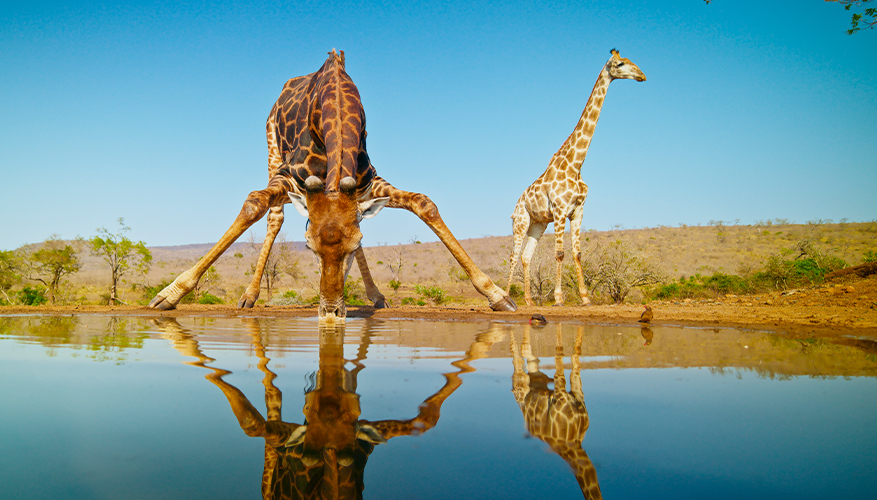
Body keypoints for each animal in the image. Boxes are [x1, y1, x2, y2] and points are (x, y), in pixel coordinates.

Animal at [148, 50, 516, 320]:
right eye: (308, 247)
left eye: (353, 247)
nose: (330, 312)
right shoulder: (288, 175)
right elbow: (253, 204)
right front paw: (168, 294)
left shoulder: (369, 183)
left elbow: (423, 203)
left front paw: (498, 295)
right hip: (271, 149)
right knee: (274, 216)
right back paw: (249, 297)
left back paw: (376, 296)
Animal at [507, 49, 646, 307]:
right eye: (620, 64)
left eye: (631, 61)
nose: (642, 76)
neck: (575, 164)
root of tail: (516, 205)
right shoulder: (561, 211)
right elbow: (560, 253)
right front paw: (559, 298)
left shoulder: (578, 210)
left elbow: (577, 253)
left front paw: (585, 297)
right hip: (520, 222)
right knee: (513, 255)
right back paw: (507, 295)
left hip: (538, 224)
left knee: (526, 256)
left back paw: (529, 300)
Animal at [510, 324, 603, 500]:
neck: (575, 445)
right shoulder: (560, 391)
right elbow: (560, 353)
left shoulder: (577, 389)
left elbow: (576, 356)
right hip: (521, 386)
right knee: (518, 361)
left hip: (537, 378)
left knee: (529, 356)